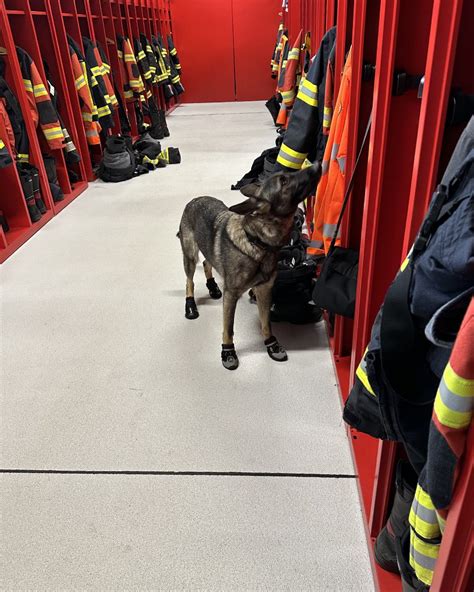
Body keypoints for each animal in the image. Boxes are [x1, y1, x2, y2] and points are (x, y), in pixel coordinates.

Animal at [179, 162, 322, 370]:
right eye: (284, 180)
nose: (317, 164)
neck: (257, 242)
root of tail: (195, 199)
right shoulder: (231, 295)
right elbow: (228, 327)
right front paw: (228, 352)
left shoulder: (264, 290)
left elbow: (266, 322)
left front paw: (271, 344)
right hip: (190, 255)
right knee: (189, 281)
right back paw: (190, 306)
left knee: (207, 261)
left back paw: (213, 287)